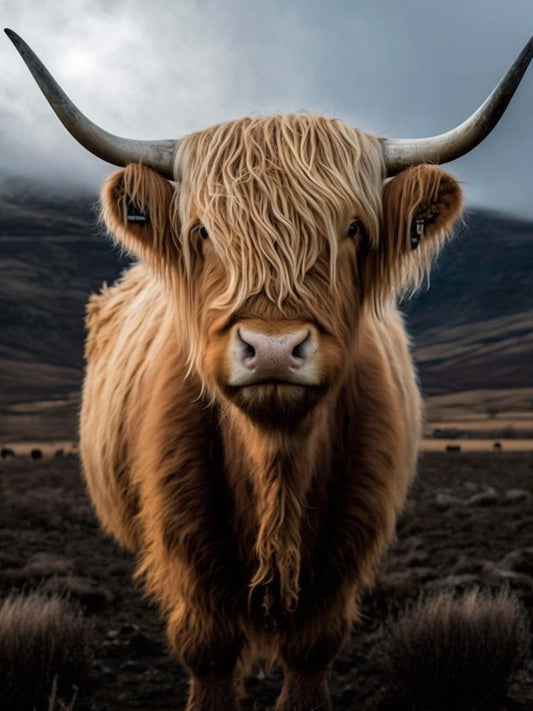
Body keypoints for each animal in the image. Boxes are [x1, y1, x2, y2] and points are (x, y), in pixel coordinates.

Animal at [7, 29, 532, 711]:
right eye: (203, 231)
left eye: (353, 228)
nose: (275, 348)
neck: (275, 466)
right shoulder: (187, 561)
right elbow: (209, 657)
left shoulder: (343, 562)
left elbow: (310, 656)